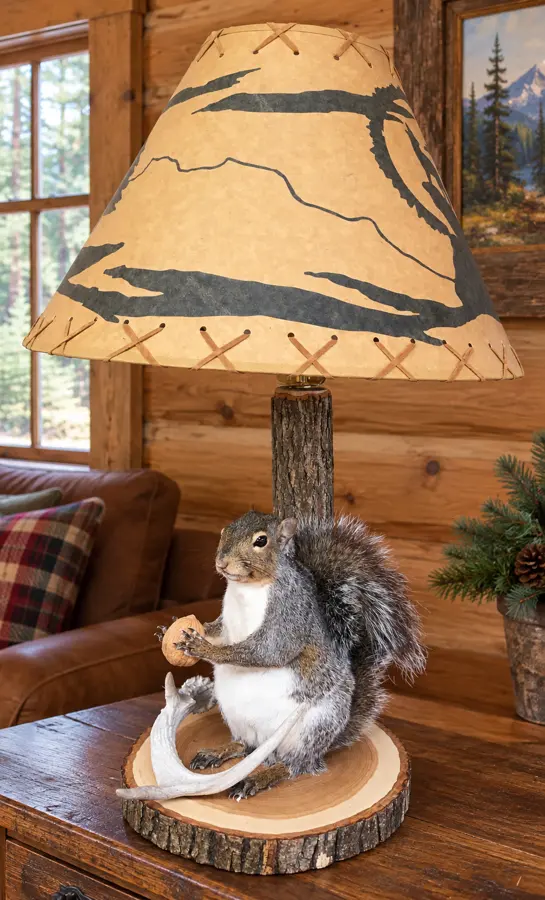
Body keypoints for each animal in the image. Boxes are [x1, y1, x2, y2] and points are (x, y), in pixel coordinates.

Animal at [175, 510, 425, 801]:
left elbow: (266, 650)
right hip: (236, 718)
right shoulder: (227, 624)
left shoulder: (289, 616)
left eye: (261, 541)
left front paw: (203, 648)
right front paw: (180, 631)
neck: (247, 588)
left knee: (295, 766)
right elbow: (217, 631)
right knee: (245, 746)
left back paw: (259, 778)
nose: (222, 563)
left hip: (313, 727)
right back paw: (219, 752)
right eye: (225, 531)